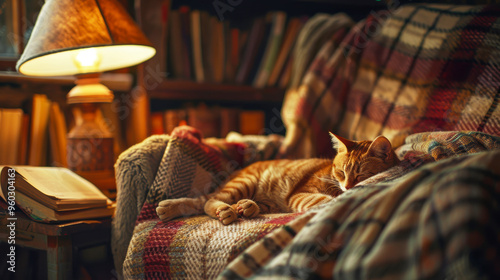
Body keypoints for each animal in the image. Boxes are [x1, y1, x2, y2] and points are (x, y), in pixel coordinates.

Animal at [156, 133, 398, 225]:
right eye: (341, 172)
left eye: (360, 175)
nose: (348, 186)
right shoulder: (300, 194)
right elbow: (325, 200)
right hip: (243, 183)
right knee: (207, 201)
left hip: (262, 199)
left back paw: (245, 207)